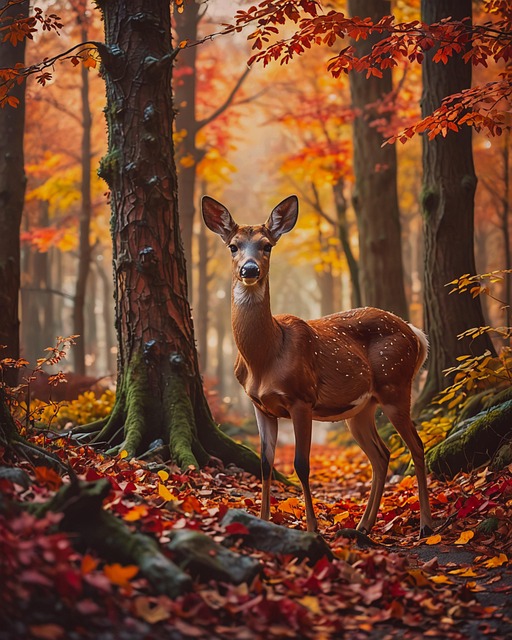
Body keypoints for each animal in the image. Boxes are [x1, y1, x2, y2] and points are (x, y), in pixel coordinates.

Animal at [202, 194, 434, 538]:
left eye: (267, 245)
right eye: (233, 246)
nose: (249, 268)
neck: (264, 358)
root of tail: (416, 334)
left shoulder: (302, 398)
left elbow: (301, 464)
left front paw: (312, 528)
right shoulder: (259, 405)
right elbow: (265, 463)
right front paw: (265, 519)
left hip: (395, 384)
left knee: (417, 447)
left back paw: (425, 525)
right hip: (361, 409)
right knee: (382, 455)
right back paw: (363, 526)